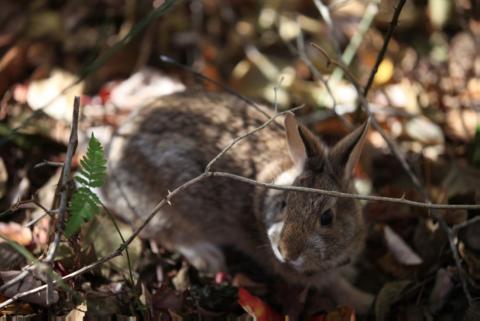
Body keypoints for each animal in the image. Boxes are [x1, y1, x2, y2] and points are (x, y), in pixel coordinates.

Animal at [101, 89, 372, 312]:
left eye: (327, 218)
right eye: (285, 204)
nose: (286, 252)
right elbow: (334, 286)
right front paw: (363, 300)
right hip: (162, 206)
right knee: (167, 233)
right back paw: (208, 256)